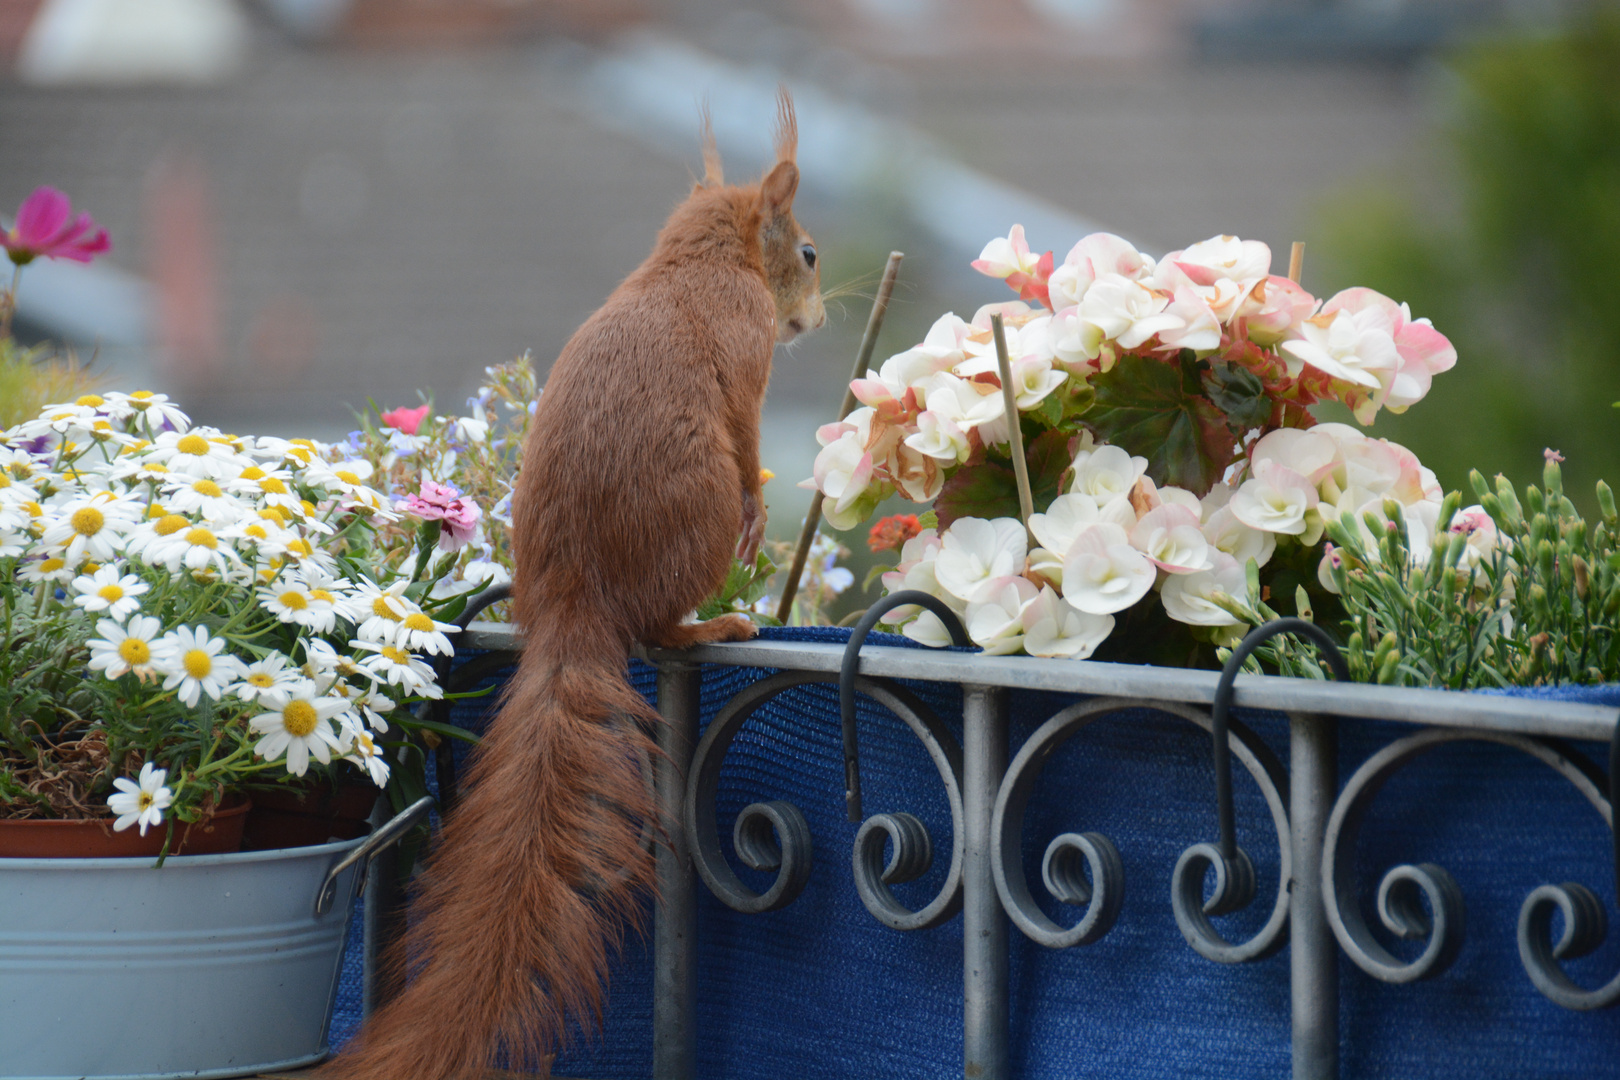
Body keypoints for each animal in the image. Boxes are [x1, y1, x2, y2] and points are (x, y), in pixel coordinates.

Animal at [319, 95, 822, 1080]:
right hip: (696, 522)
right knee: (661, 628)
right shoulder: (744, 341)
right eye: (810, 255)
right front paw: (759, 510)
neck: (694, 260)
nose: (815, 321)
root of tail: (570, 607)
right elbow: (749, 425)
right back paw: (711, 627)